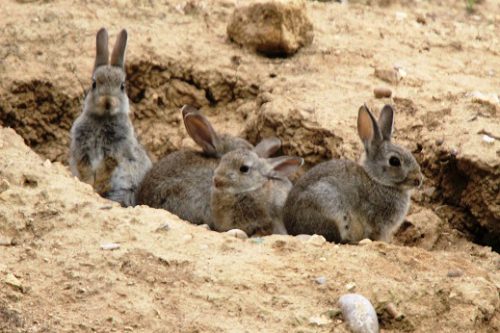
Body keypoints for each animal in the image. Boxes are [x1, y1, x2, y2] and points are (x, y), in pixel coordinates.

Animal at [69, 27, 150, 206]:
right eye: (94, 84)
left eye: (122, 86)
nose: (108, 102)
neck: (103, 119)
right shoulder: (83, 151)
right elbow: (85, 170)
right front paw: (89, 186)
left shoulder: (114, 152)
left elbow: (106, 170)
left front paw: (98, 187)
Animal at [286, 105, 422, 243]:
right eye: (394, 161)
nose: (418, 180)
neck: (377, 180)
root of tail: (292, 228)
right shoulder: (376, 222)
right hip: (330, 205)